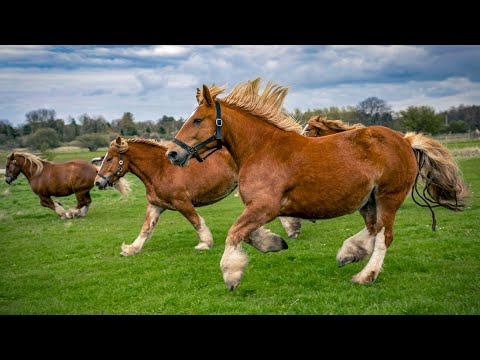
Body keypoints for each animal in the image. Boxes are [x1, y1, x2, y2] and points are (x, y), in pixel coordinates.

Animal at [92, 136, 298, 258]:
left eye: (109, 159)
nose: (98, 182)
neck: (159, 170)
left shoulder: (182, 202)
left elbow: (196, 221)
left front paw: (205, 243)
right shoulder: (155, 206)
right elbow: (146, 229)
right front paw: (131, 249)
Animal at [166, 78, 468, 290]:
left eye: (197, 120)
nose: (172, 153)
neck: (261, 148)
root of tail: (404, 140)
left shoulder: (266, 206)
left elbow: (235, 232)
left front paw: (231, 274)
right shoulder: (261, 208)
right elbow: (247, 233)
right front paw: (274, 242)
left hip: (388, 198)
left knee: (384, 237)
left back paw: (365, 275)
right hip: (368, 201)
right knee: (372, 231)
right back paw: (349, 253)